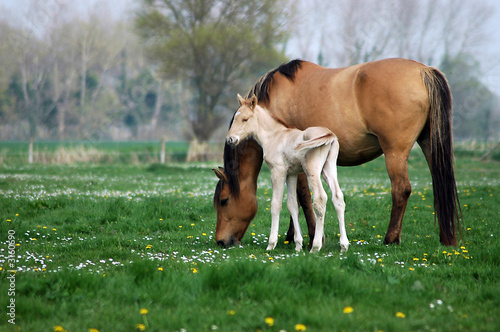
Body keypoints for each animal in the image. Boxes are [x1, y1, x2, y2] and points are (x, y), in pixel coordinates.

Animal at [226, 93, 348, 252]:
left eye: (245, 119)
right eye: (235, 118)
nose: (230, 139)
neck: (274, 136)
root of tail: (329, 134)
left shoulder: (278, 171)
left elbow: (276, 205)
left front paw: (271, 244)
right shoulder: (291, 174)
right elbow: (292, 205)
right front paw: (298, 245)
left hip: (312, 169)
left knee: (320, 199)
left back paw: (315, 246)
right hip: (329, 168)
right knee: (338, 198)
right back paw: (344, 246)